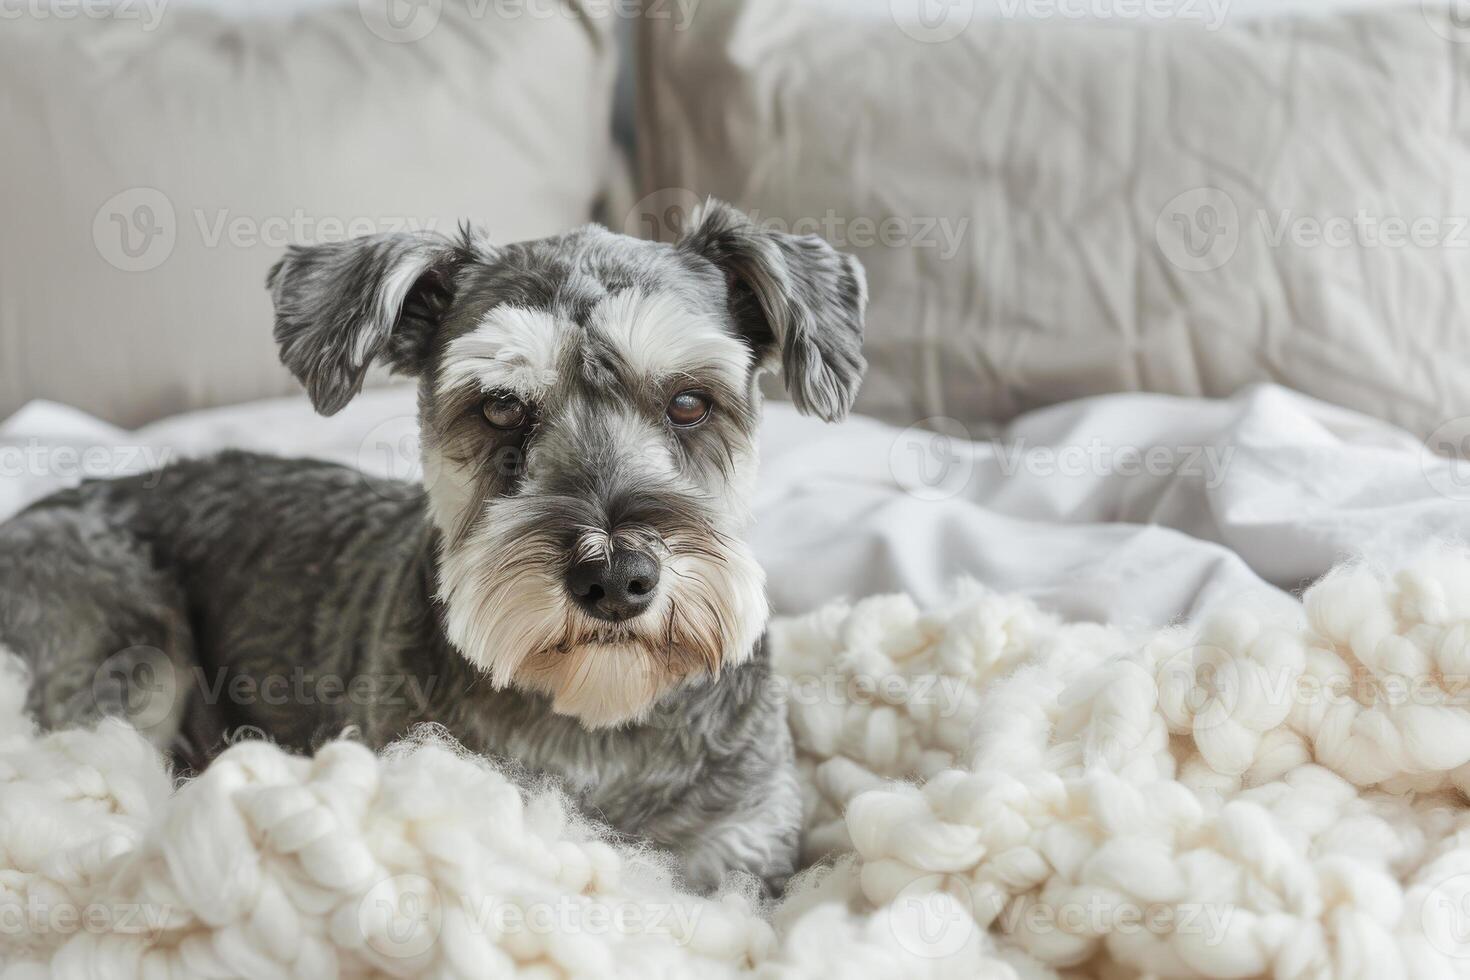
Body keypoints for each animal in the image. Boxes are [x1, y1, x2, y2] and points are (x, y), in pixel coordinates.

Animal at [0, 201, 864, 899]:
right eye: (500, 407)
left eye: (689, 401)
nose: (616, 577)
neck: (596, 720)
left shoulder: (745, 851)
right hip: (132, 653)